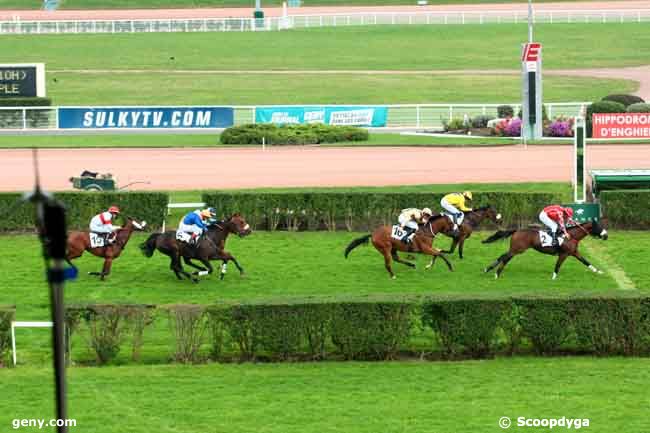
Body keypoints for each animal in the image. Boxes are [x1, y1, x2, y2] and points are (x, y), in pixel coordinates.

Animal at [480, 219, 608, 280]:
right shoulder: (564, 254)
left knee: (502, 256)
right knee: (505, 258)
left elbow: (586, 262)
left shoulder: (574, 252)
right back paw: (496, 274)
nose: (606, 236)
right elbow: (557, 266)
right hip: (518, 249)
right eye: (599, 227)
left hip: (515, 249)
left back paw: (488, 269)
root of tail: (516, 230)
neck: (571, 236)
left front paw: (599, 271)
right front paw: (553, 277)